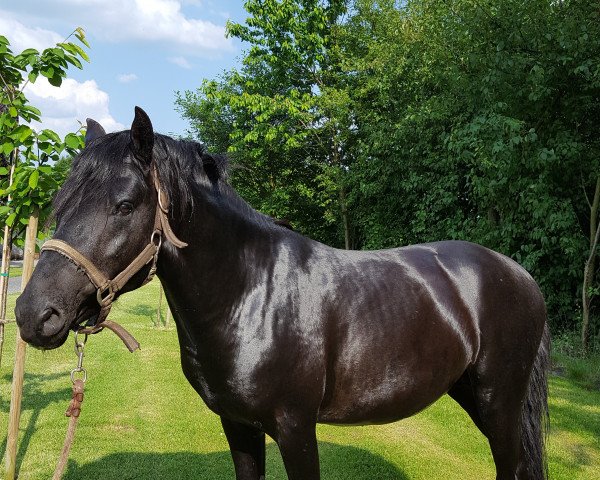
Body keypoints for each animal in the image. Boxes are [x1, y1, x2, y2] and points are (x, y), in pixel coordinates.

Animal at [15, 107, 548, 478]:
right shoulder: (239, 426)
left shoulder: (295, 428)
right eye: (62, 203)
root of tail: (520, 275)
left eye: (125, 205)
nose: (32, 314)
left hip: (499, 402)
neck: (251, 297)